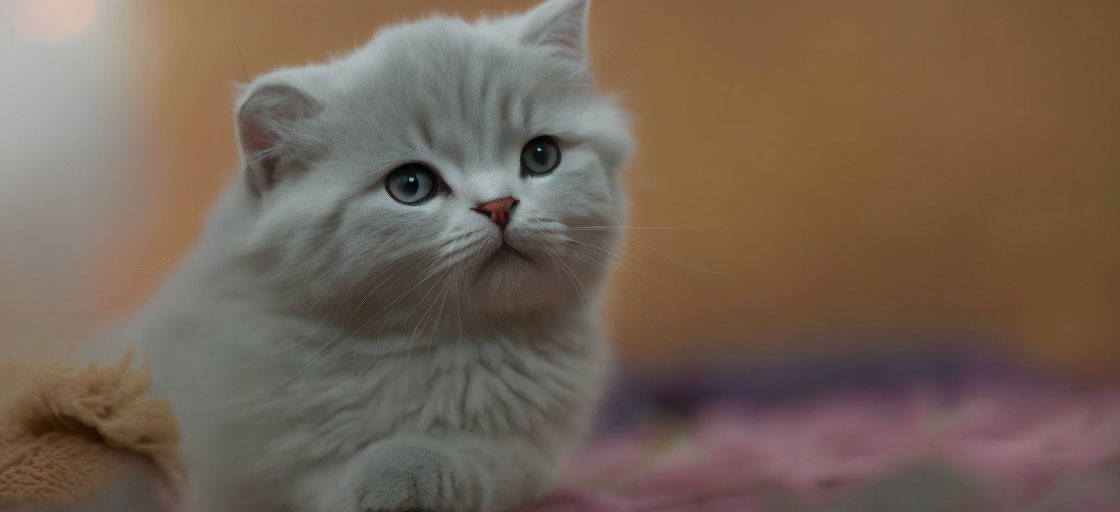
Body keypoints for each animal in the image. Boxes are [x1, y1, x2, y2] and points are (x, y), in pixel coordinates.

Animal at [128, 0, 631, 510]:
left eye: (541, 156)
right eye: (411, 185)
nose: (499, 205)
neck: (433, 346)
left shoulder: (531, 451)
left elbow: (482, 458)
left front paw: (410, 471)